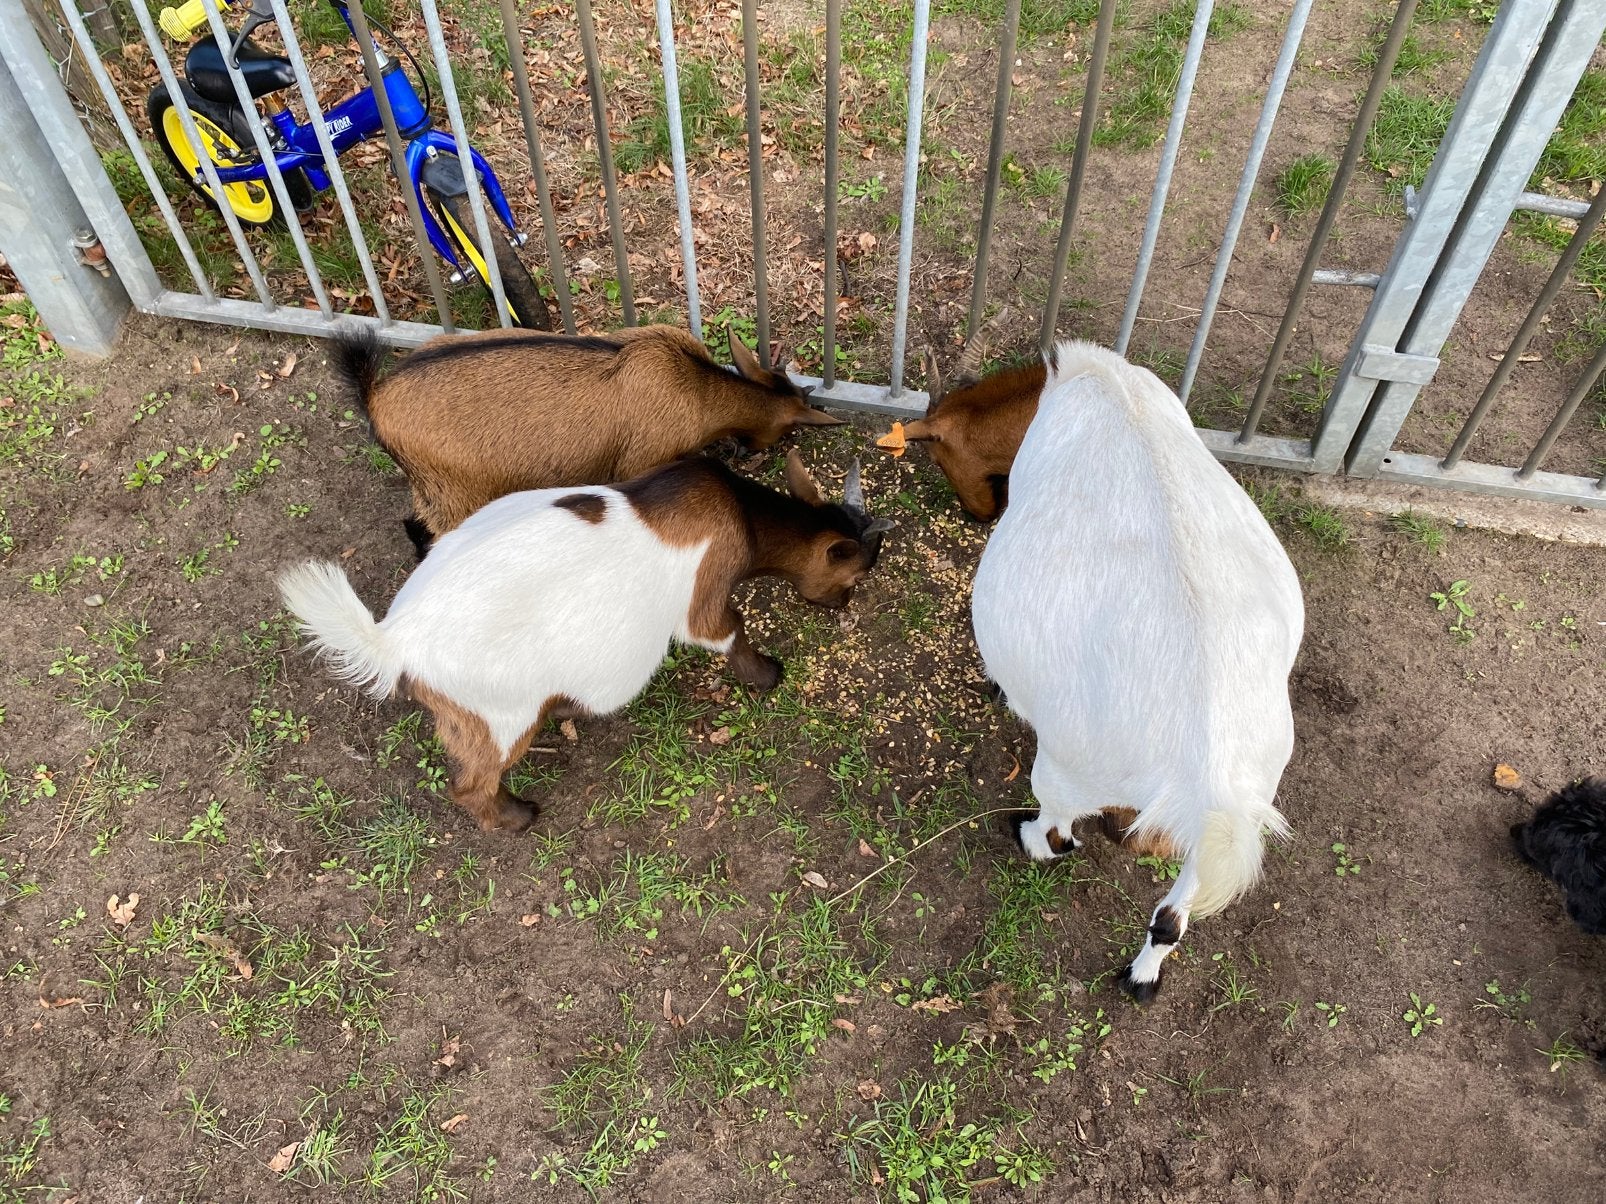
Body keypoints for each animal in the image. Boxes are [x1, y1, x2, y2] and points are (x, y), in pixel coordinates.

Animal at [277, 451, 893, 833]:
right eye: (856, 574)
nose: (844, 606)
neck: (741, 514)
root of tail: (393, 639)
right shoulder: (705, 596)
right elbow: (728, 629)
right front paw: (764, 675)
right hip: (499, 715)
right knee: (472, 784)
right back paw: (517, 818)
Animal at [333, 323, 844, 555]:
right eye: (790, 427)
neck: (695, 388)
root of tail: (374, 396)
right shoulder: (641, 461)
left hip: (431, 489)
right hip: (456, 491)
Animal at [970, 341, 1304, 1002]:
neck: (1111, 386)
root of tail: (1207, 767)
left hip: (1069, 766)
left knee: (1060, 832)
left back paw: (1027, 835)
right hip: (1239, 810)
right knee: (1174, 914)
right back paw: (1142, 977)